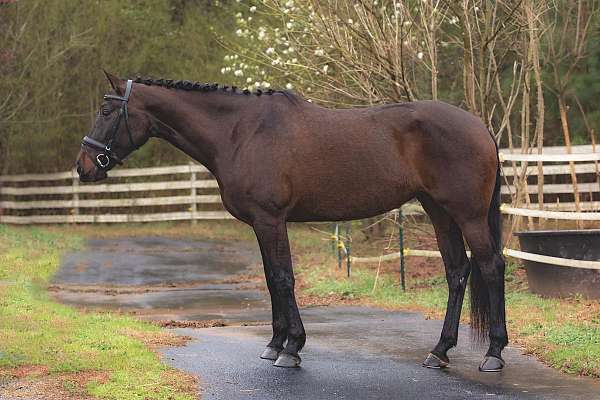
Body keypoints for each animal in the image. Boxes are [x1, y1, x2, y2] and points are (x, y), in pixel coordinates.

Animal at [75, 72, 506, 372]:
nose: (84, 167)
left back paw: (494, 353)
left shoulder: (271, 219)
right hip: (438, 212)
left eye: (106, 111)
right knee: (457, 272)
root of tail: (480, 126)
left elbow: (283, 278)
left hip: (467, 214)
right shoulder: (259, 224)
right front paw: (275, 344)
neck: (240, 132)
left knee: (490, 266)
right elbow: (270, 279)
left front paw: (292, 348)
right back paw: (439, 351)